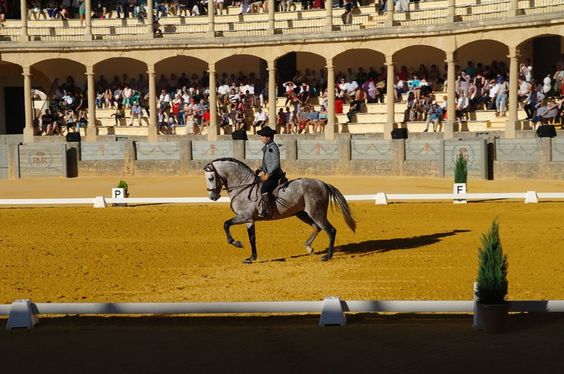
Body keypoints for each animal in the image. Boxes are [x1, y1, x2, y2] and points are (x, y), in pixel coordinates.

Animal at [203, 158, 354, 262]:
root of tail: (323, 183)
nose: (212, 197)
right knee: (317, 227)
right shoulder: (249, 220)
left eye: (211, 178)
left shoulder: (244, 216)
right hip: (302, 214)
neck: (243, 187)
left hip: (317, 213)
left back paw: (327, 256)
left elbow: (226, 224)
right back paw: (309, 247)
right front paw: (252, 257)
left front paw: (237, 243)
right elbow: (252, 238)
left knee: (330, 230)